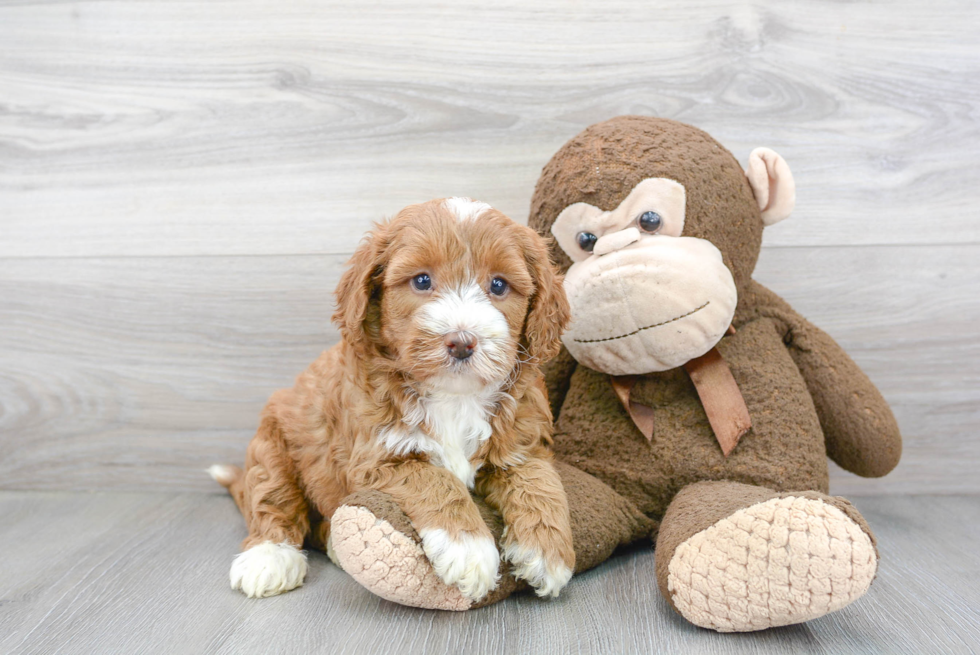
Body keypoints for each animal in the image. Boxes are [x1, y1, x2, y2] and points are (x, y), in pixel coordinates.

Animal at [208, 197, 576, 604]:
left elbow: (541, 482)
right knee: (272, 498)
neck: (453, 395)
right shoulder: (378, 456)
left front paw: (548, 553)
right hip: (272, 444)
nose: (461, 342)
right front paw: (469, 549)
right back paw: (268, 558)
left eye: (498, 285)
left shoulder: (521, 444)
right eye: (422, 281)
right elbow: (435, 479)